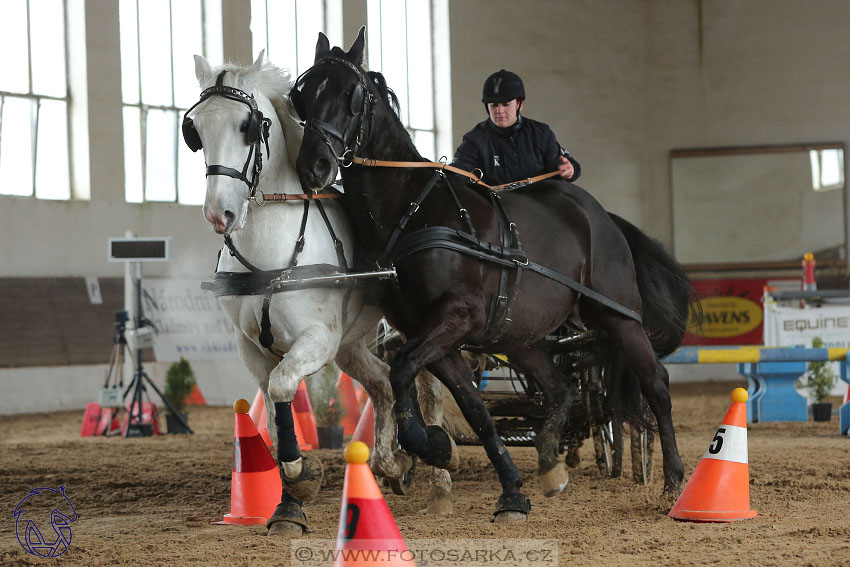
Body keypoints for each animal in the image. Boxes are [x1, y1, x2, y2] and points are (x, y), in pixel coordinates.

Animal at [184, 52, 450, 532]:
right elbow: (274, 408)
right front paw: (289, 503)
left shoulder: (318, 339)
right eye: (194, 129)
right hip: (351, 345)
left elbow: (283, 386)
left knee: (427, 390)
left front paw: (302, 476)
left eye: (247, 126)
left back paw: (438, 484)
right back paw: (390, 463)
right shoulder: (252, 347)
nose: (219, 214)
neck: (270, 260)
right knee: (382, 383)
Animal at [292, 28, 688, 520]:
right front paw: (511, 491)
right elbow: (475, 411)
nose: (312, 166)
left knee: (655, 385)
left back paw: (673, 480)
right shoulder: (430, 334)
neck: (413, 211)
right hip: (520, 336)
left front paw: (430, 445)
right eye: (303, 94)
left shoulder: (457, 318)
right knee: (560, 390)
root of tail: (603, 216)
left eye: (351, 94)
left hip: (618, 316)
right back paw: (550, 464)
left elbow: (402, 372)